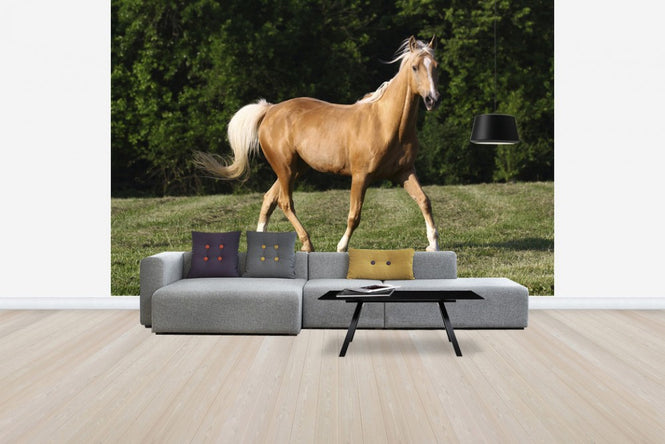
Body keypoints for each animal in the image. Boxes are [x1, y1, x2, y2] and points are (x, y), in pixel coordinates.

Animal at [194, 36, 441, 253]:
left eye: (435, 66)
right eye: (415, 67)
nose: (433, 100)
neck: (387, 124)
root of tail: (270, 110)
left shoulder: (404, 172)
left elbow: (424, 201)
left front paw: (434, 245)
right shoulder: (360, 176)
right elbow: (354, 215)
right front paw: (341, 247)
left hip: (295, 169)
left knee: (269, 199)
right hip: (285, 168)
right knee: (285, 202)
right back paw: (307, 244)